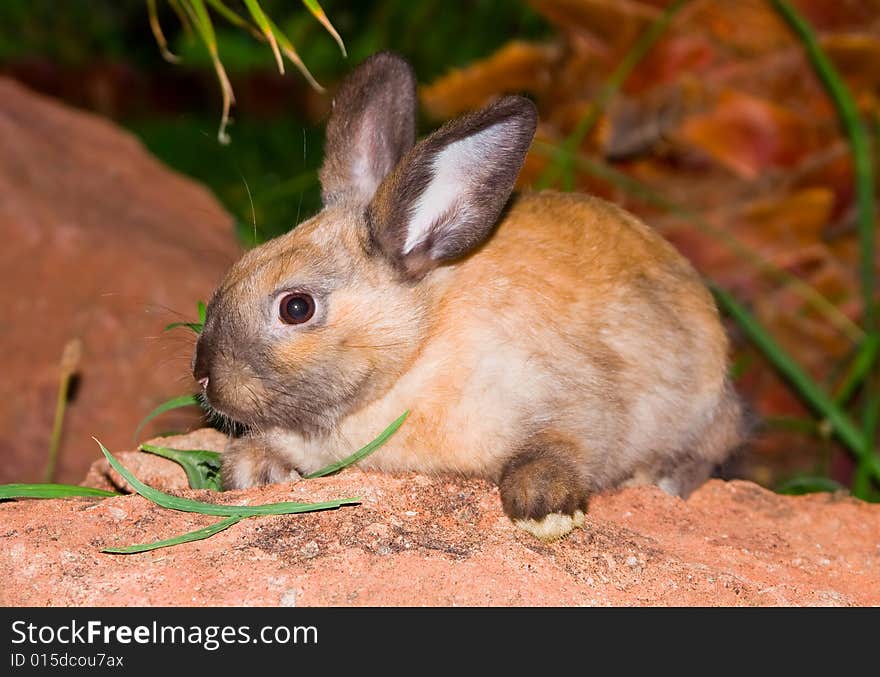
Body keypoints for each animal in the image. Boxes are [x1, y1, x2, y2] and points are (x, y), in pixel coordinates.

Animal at [192, 50, 744, 540]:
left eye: (296, 307)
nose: (203, 375)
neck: (418, 350)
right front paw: (253, 469)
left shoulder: (575, 401)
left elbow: (558, 450)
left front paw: (544, 510)